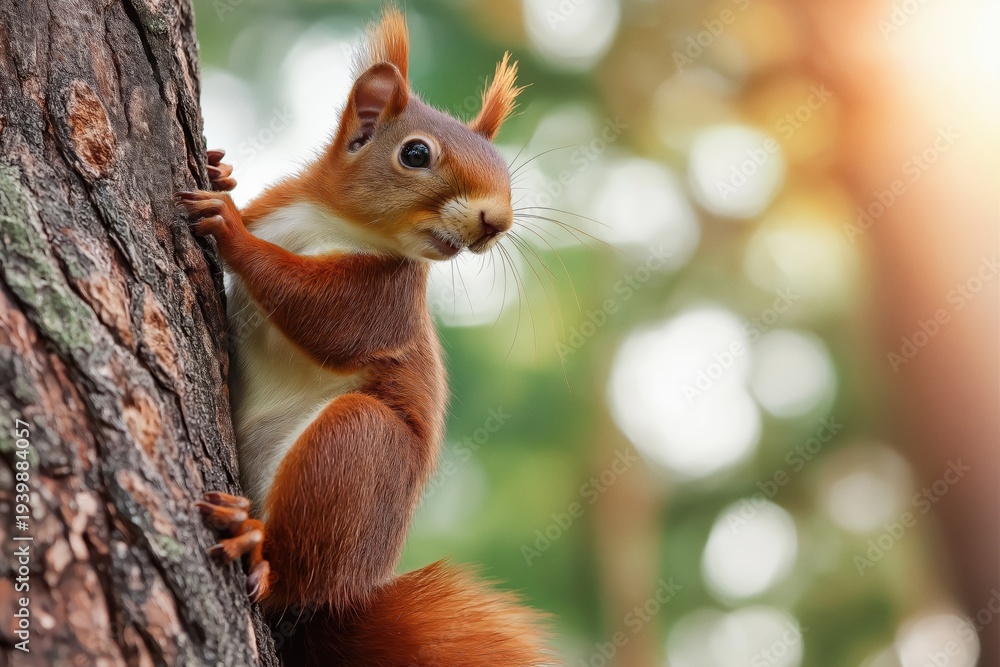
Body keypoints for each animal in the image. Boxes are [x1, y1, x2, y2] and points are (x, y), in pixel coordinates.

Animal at [178, 8, 554, 667]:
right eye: (415, 153)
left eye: (506, 172)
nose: (497, 221)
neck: (330, 220)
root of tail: (338, 600)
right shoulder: (280, 208)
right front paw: (221, 170)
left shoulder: (383, 300)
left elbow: (321, 314)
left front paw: (230, 231)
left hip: (360, 454)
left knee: (296, 567)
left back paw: (256, 547)